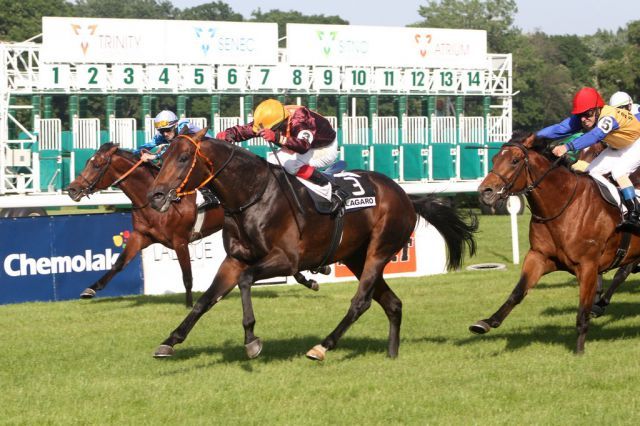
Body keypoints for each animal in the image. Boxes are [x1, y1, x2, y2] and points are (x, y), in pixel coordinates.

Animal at [66, 143, 320, 306]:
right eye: (88, 161)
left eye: (97, 165)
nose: (72, 189)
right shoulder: (141, 235)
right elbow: (119, 263)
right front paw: (90, 289)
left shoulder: (180, 241)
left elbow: (187, 275)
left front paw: (188, 305)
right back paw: (309, 279)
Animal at [145, 128, 476, 362]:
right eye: (163, 158)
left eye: (184, 158)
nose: (156, 196)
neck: (252, 196)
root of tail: (406, 196)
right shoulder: (234, 259)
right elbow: (206, 299)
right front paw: (170, 341)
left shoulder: (286, 260)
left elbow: (246, 280)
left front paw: (251, 339)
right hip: (356, 256)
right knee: (392, 303)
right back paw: (391, 354)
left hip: (379, 250)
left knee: (361, 301)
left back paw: (322, 346)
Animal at [470, 131, 640, 354]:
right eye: (494, 159)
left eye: (515, 161)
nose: (485, 192)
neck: (563, 206)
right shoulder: (539, 256)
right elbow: (518, 292)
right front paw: (487, 322)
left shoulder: (588, 265)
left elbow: (582, 311)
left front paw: (579, 351)